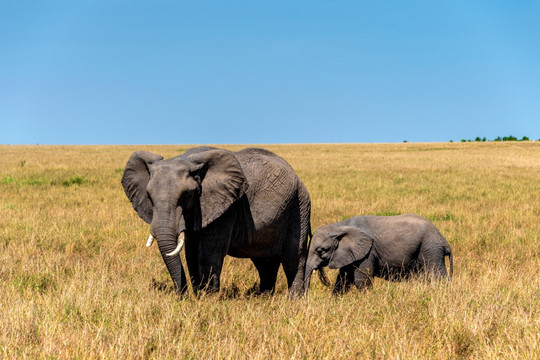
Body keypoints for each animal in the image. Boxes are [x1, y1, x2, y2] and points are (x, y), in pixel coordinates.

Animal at [120, 146, 310, 298]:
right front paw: (199, 296)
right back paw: (263, 298)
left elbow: (209, 252)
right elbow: (191, 253)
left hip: (299, 206)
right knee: (264, 261)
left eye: (187, 195)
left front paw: (208, 299)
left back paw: (294, 300)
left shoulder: (226, 207)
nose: (182, 296)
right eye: (149, 196)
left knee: (294, 258)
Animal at [306, 214, 454, 292]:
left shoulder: (368, 252)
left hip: (431, 249)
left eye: (320, 251)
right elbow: (342, 280)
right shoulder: (348, 253)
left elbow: (361, 281)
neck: (339, 226)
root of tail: (444, 241)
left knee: (436, 275)